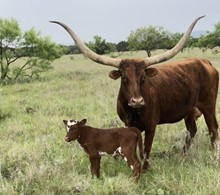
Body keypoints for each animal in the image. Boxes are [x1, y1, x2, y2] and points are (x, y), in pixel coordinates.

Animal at [50, 16, 219, 170]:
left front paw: (145, 169)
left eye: (143, 77)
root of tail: (205, 62)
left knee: (212, 128)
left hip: (208, 105)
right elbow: (138, 148)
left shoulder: (151, 125)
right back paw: (183, 155)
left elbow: (147, 149)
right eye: (124, 77)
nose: (137, 101)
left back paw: (213, 155)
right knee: (192, 131)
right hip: (189, 111)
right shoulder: (129, 125)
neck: (134, 111)